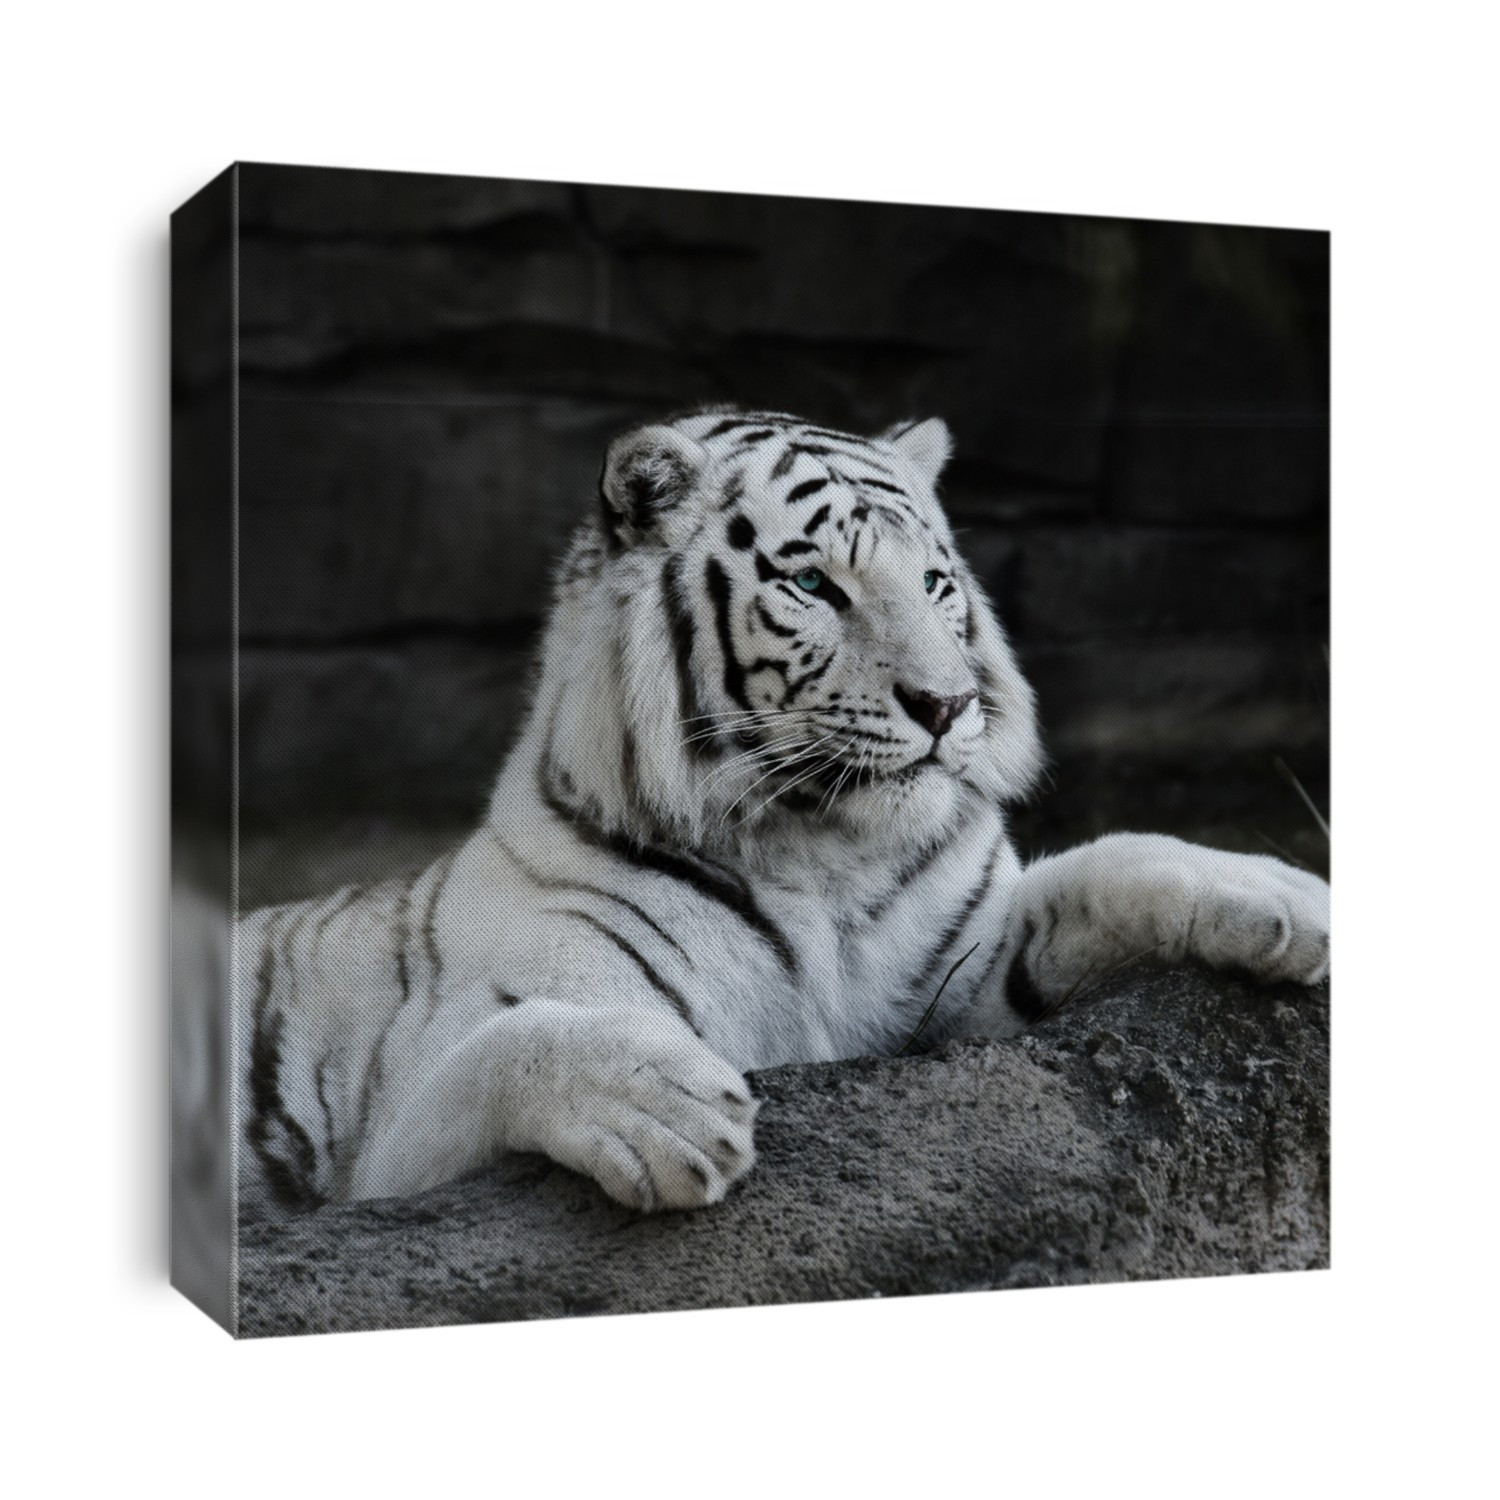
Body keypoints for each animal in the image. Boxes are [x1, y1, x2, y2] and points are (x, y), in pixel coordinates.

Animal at [236, 407, 1330, 1215]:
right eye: (812, 583)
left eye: (935, 582)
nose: (947, 705)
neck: (824, 851)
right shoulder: (394, 1138)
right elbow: (500, 1050)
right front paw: (674, 1109)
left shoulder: (962, 987)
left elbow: (1108, 863)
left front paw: (1290, 899)